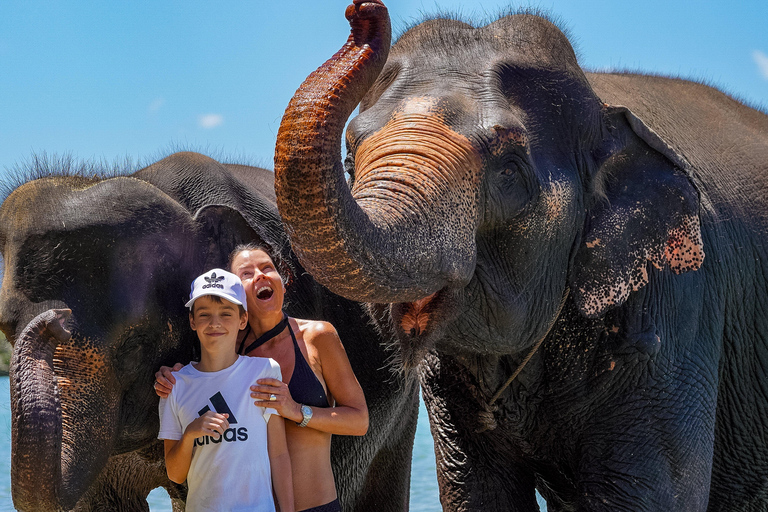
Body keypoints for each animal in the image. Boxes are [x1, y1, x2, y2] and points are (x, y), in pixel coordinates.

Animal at [272, 1, 768, 512]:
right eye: (350, 162)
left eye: (508, 170)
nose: (361, 11)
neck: (601, 107)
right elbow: (475, 492)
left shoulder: (675, 308)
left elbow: (649, 494)